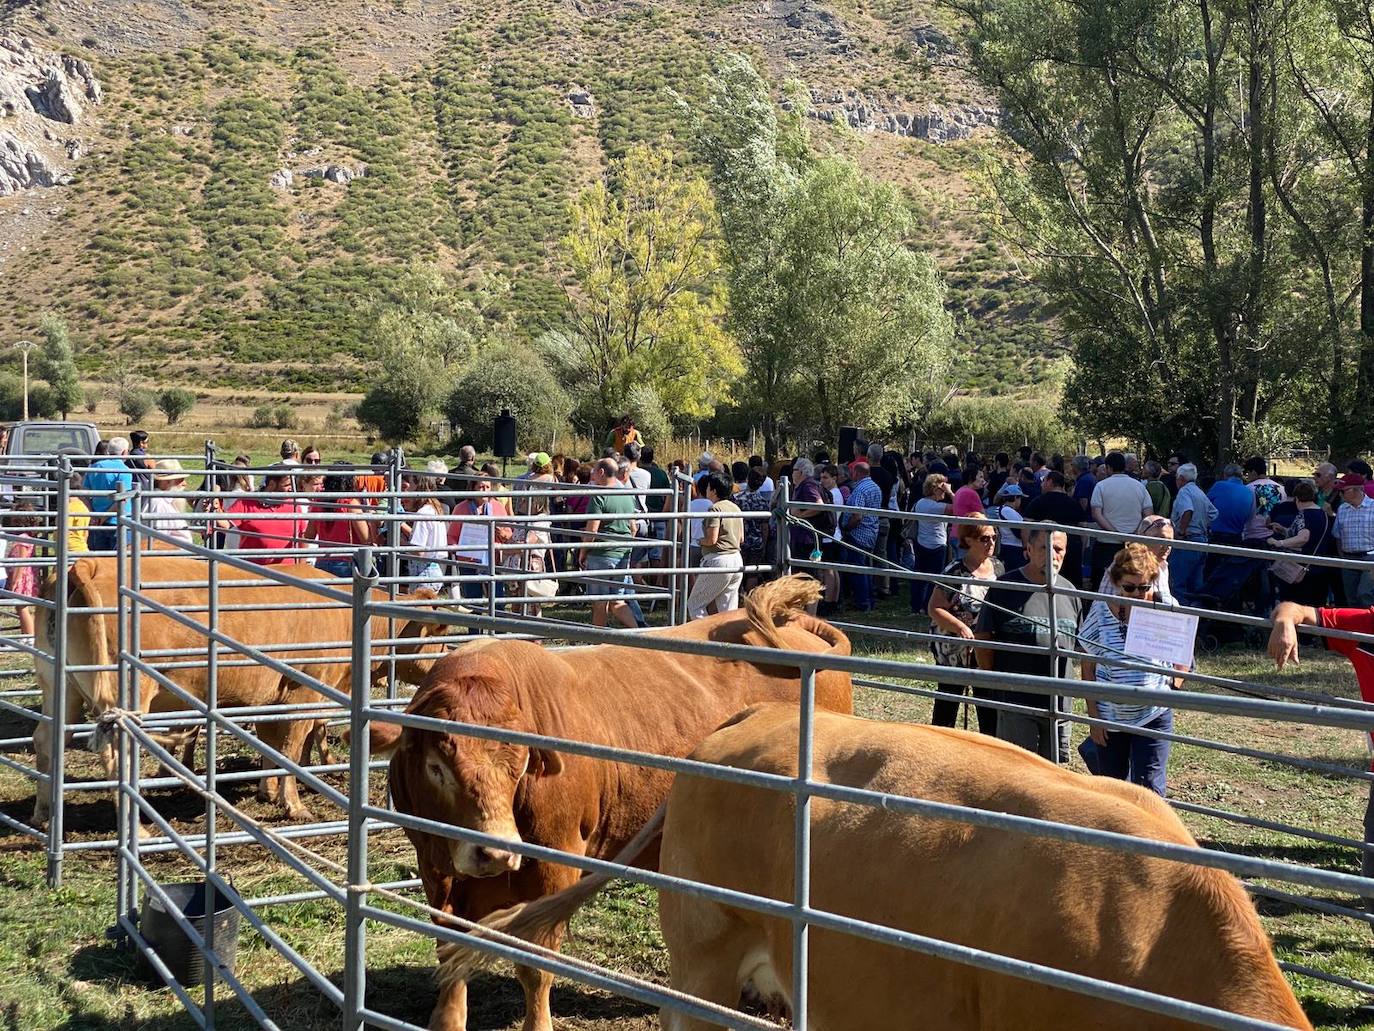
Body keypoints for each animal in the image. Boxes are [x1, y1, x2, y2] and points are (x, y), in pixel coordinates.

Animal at [33, 552, 445, 830]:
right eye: (440, 639)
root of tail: (88, 565)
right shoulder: (303, 695)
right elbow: (290, 751)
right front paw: (294, 806)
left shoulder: (269, 700)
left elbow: (271, 748)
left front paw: (267, 792)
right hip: (128, 692)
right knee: (118, 752)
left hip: (59, 684)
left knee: (46, 738)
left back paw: (43, 814)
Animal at [373, 577, 846, 1031]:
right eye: (436, 767)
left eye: (520, 764)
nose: (495, 852)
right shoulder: (434, 868)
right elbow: (450, 951)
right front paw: (446, 1020)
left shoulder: (554, 865)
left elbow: (535, 965)